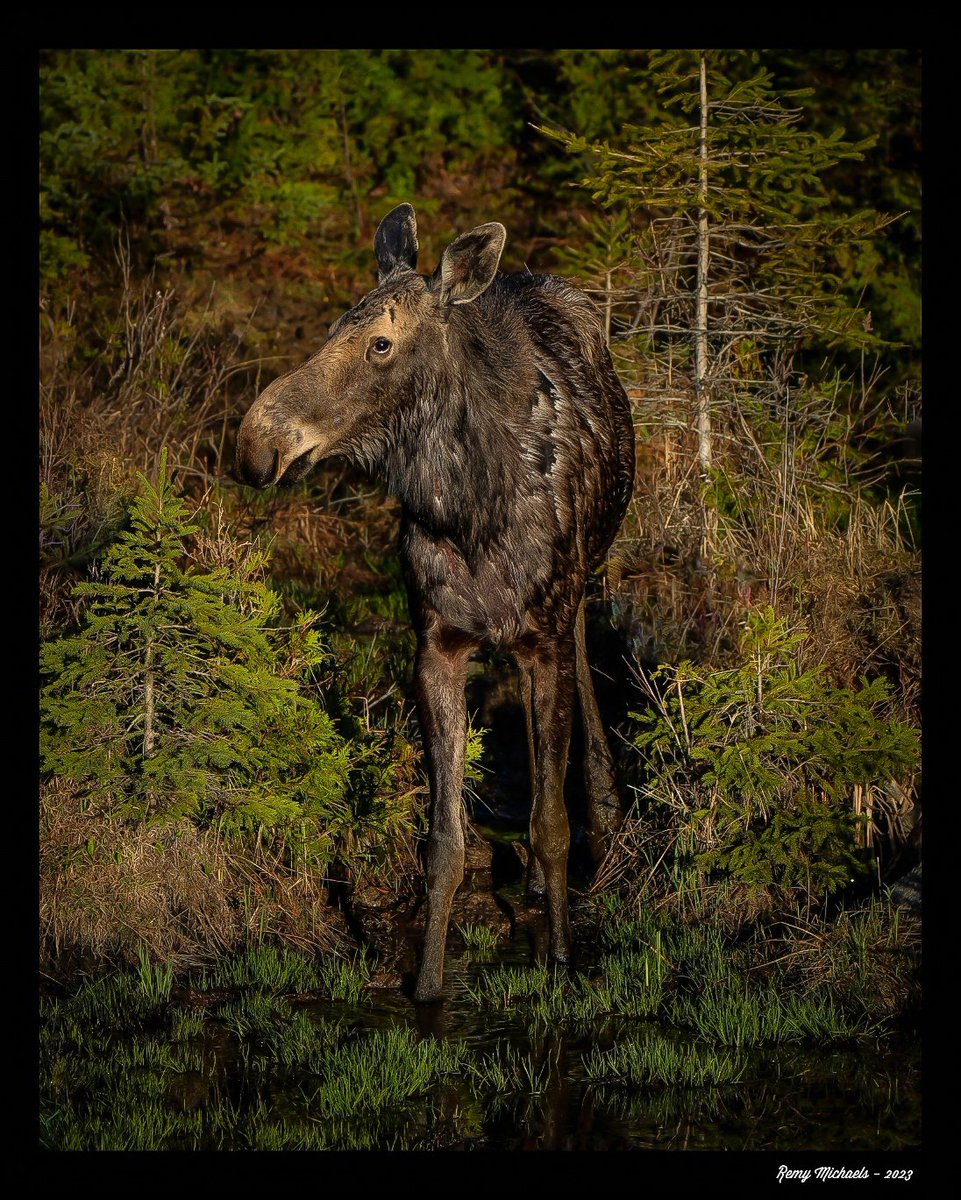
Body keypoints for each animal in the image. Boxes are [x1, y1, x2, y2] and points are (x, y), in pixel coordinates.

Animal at [235, 206, 633, 1003]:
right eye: (334, 324)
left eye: (381, 343)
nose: (256, 444)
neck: (470, 512)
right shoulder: (436, 643)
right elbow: (445, 838)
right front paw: (425, 984)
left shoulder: (544, 636)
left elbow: (551, 823)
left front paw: (560, 960)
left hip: (580, 583)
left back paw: (602, 822)